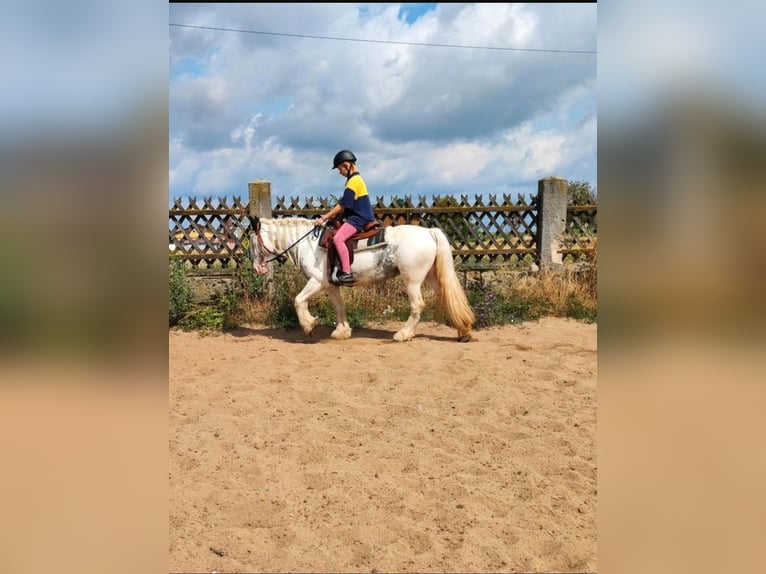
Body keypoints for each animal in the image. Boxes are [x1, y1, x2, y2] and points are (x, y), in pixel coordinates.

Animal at [248, 215, 474, 342]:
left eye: (251, 242)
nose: (257, 268)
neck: (308, 243)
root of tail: (428, 232)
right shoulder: (331, 285)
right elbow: (339, 307)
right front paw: (342, 332)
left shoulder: (317, 282)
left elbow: (298, 300)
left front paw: (309, 326)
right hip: (430, 277)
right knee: (448, 297)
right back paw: (463, 331)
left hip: (412, 280)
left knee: (417, 305)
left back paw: (403, 334)